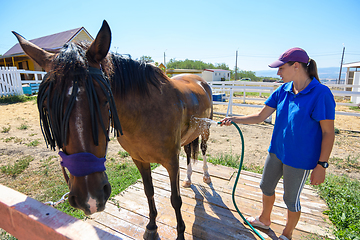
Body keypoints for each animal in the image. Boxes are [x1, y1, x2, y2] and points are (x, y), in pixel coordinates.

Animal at [14, 20, 212, 238]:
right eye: (48, 107)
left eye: (104, 99)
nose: (90, 198)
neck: (147, 113)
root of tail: (198, 79)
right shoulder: (140, 160)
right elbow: (148, 192)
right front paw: (151, 226)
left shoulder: (171, 161)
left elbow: (175, 200)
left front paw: (180, 233)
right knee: (189, 153)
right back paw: (188, 179)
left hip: (205, 130)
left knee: (203, 151)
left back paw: (206, 176)